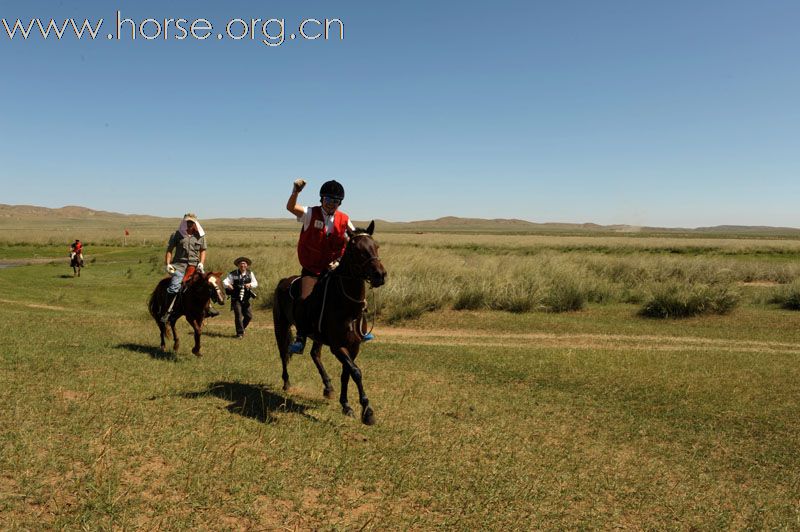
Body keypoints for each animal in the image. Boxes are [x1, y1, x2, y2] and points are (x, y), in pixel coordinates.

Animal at [274, 220, 390, 424]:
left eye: (376, 246)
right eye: (356, 250)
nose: (380, 275)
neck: (347, 306)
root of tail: (283, 281)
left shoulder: (353, 346)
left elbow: (346, 373)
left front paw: (346, 405)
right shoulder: (337, 346)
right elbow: (356, 372)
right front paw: (367, 411)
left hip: (317, 337)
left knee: (315, 355)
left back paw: (328, 387)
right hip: (281, 326)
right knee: (284, 353)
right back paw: (287, 383)